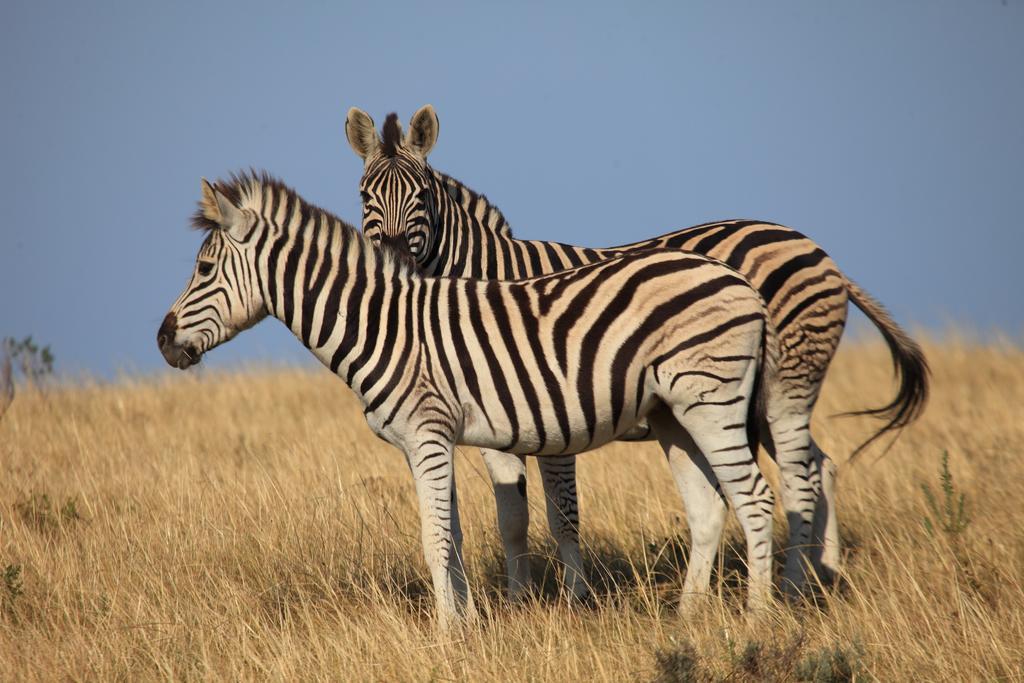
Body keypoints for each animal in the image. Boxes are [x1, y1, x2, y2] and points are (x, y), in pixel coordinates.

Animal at [157, 171, 782, 626]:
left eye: (204, 268)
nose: (161, 341)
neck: (383, 326)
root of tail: (740, 281)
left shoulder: (428, 434)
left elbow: (434, 539)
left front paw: (442, 636)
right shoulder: (426, 442)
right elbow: (452, 537)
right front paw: (464, 624)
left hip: (712, 402)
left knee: (754, 498)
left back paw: (757, 618)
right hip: (673, 414)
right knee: (708, 507)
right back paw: (688, 619)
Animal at [344, 104, 929, 602]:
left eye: (421, 197)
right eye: (365, 196)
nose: (391, 261)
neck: (486, 278)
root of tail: (813, 248)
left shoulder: (548, 411)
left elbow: (562, 514)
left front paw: (574, 602)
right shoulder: (496, 423)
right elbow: (511, 518)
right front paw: (517, 604)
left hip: (784, 384)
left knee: (800, 474)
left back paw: (791, 588)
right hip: (754, 403)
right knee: (820, 465)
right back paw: (821, 574)